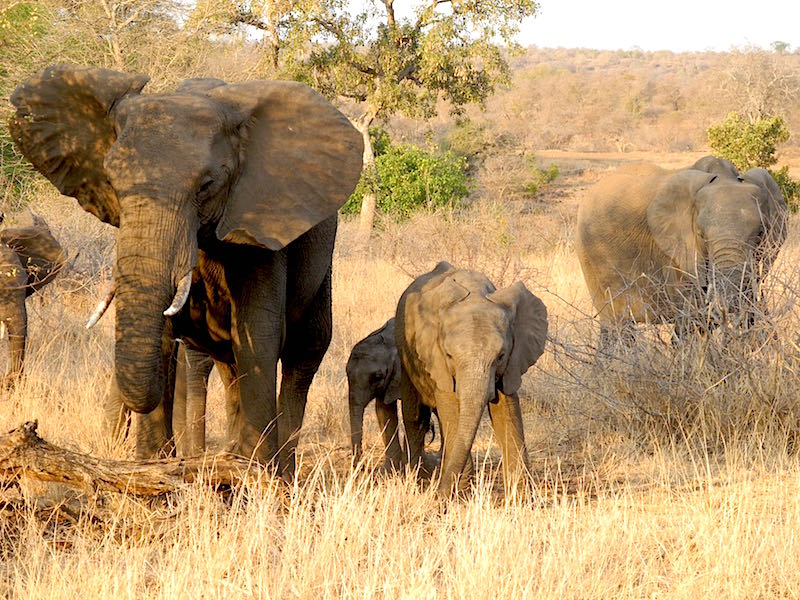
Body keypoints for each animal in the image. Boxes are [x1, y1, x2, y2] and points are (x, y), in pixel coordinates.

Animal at [396, 262, 552, 496]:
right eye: (449, 355)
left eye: (501, 356)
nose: (438, 496)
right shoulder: (437, 360)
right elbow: (451, 409)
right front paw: (457, 492)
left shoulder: (511, 365)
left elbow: (506, 411)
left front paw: (522, 496)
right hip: (403, 347)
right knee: (415, 416)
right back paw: (418, 479)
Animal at [576, 155, 788, 344]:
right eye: (701, 235)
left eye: (760, 232)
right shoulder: (676, 254)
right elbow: (693, 321)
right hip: (593, 260)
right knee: (617, 326)